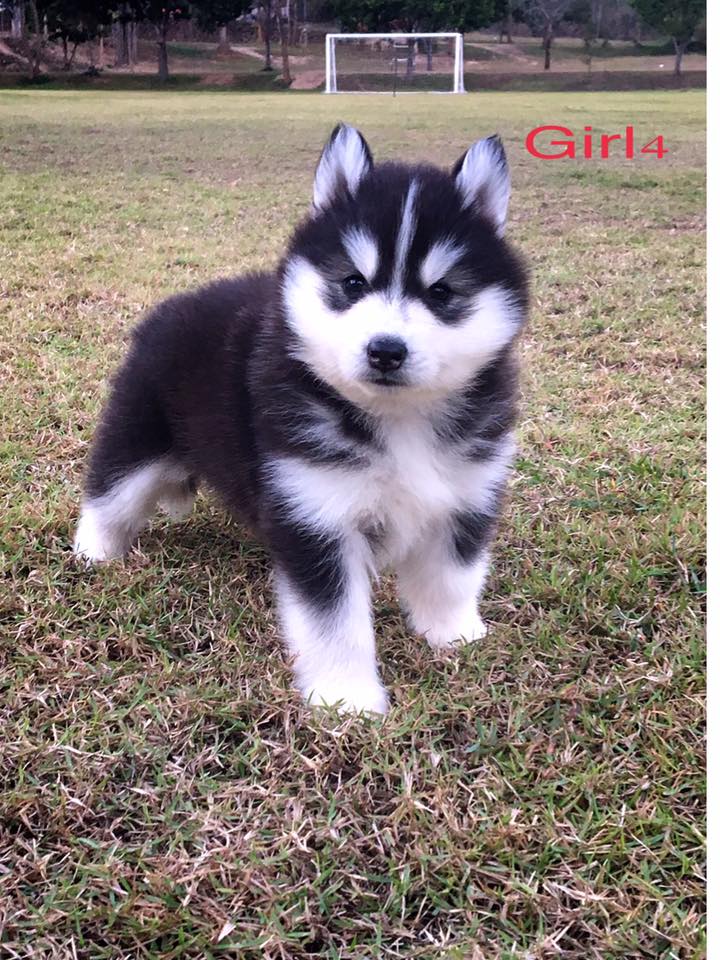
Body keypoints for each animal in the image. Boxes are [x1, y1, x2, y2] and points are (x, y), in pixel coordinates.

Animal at [74, 124, 529, 715]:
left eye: (442, 292)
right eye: (353, 283)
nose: (386, 351)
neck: (396, 419)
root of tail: (173, 305)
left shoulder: (466, 494)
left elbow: (451, 578)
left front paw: (455, 637)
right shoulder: (317, 516)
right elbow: (335, 623)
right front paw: (348, 701)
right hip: (139, 434)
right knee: (110, 493)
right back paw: (94, 554)